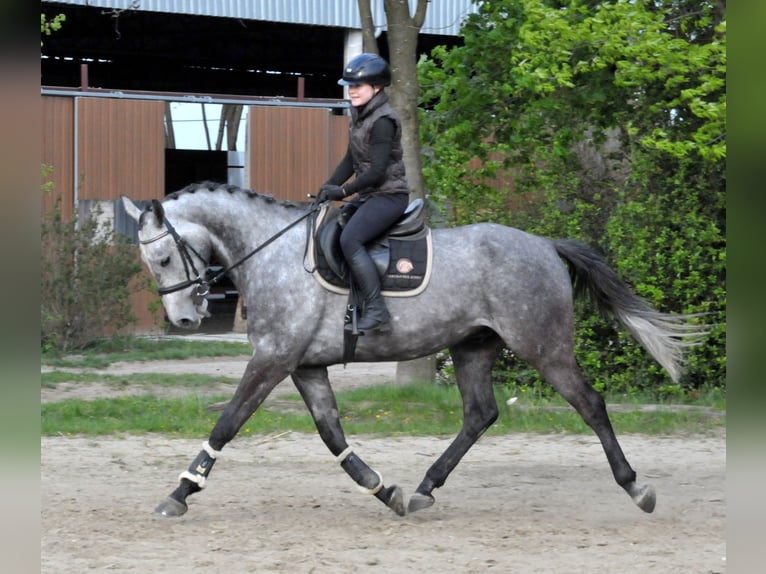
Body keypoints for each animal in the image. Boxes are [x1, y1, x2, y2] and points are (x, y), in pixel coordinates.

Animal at [121, 182, 705, 518]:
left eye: (166, 257)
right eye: (152, 263)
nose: (185, 319)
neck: (273, 253)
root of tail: (545, 244)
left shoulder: (272, 360)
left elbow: (228, 423)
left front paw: (181, 492)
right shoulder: (305, 366)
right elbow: (333, 436)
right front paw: (384, 490)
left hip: (544, 347)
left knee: (590, 404)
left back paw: (636, 488)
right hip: (474, 348)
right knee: (480, 414)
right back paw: (426, 487)